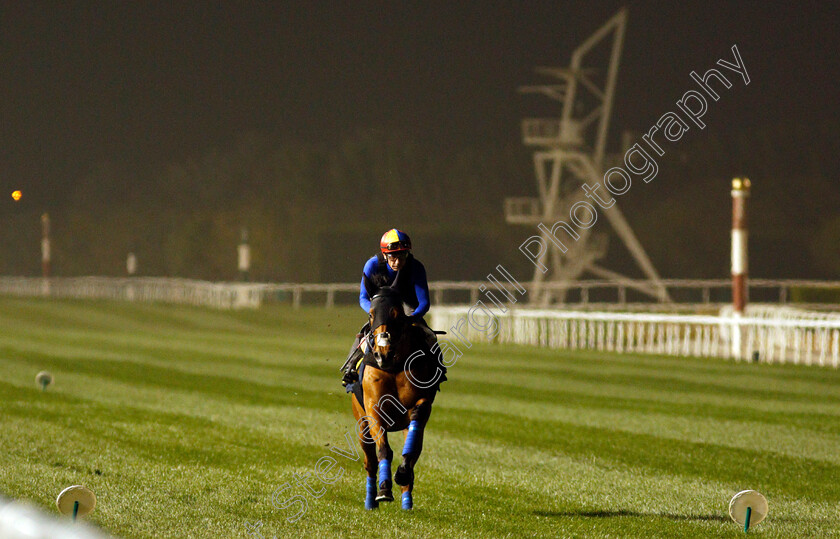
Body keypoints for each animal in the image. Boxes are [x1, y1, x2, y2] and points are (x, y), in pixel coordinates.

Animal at [350, 284, 446, 512]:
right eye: (371, 313)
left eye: (397, 314)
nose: (382, 353)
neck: (393, 366)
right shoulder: (373, 409)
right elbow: (383, 450)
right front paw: (384, 489)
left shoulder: (420, 404)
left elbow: (411, 448)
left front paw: (401, 474)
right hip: (361, 423)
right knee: (370, 462)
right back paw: (370, 501)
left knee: (412, 450)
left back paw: (407, 501)